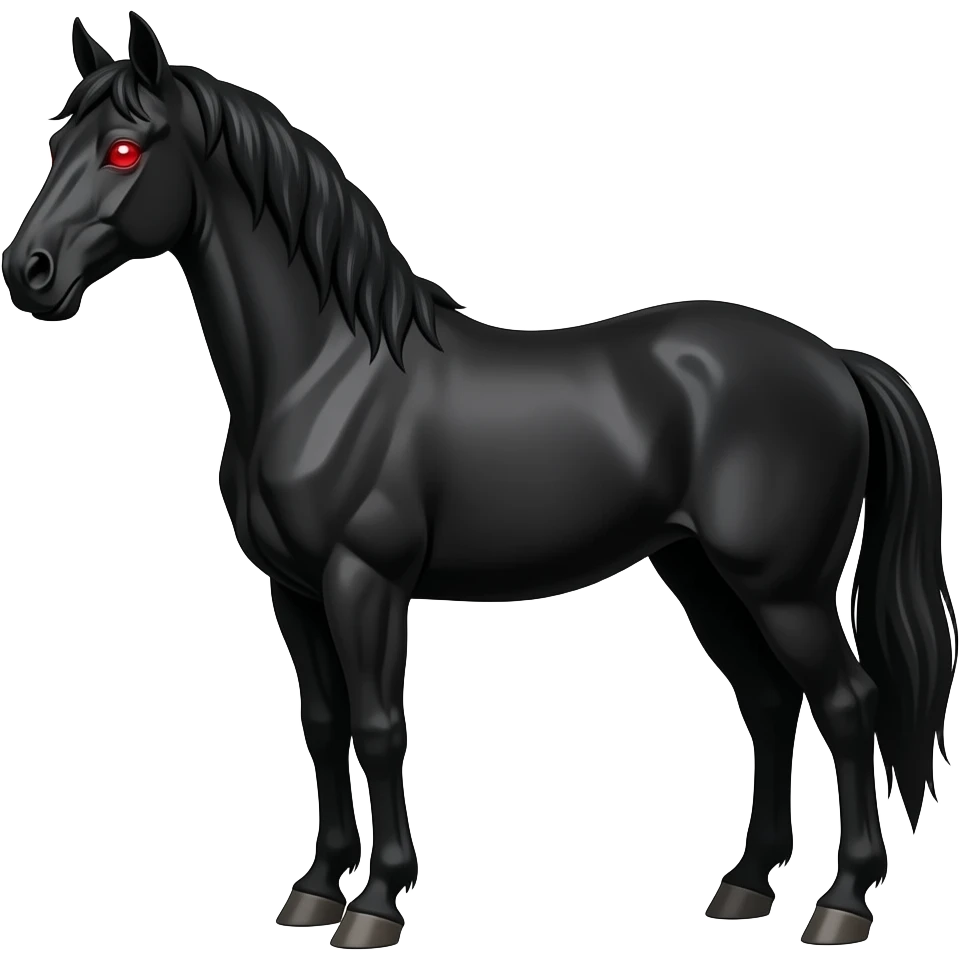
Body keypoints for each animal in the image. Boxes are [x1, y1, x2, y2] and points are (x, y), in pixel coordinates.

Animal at [3, 14, 955, 949]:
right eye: (56, 141)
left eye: (125, 149)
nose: (29, 272)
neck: (326, 372)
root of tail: (833, 361)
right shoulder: (294, 590)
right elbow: (324, 727)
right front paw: (314, 889)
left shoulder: (366, 582)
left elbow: (380, 728)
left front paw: (377, 904)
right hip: (702, 574)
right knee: (768, 701)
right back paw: (746, 885)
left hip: (784, 586)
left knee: (848, 703)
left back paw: (841, 903)